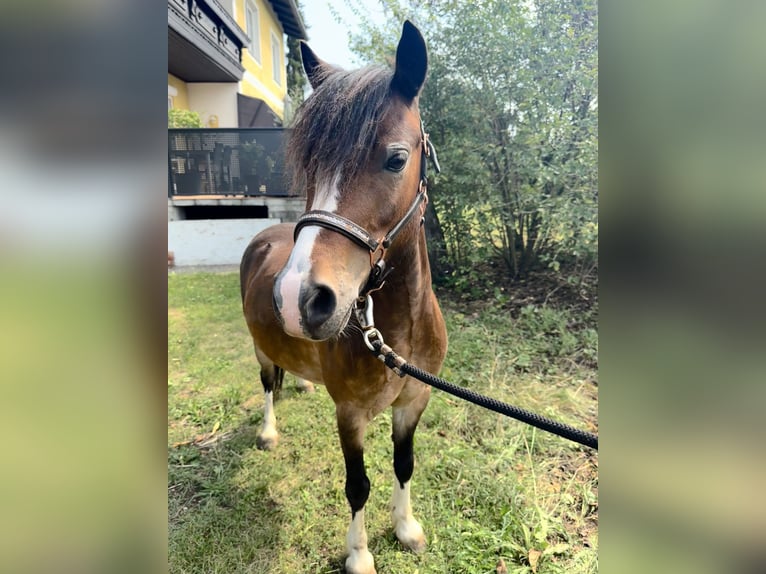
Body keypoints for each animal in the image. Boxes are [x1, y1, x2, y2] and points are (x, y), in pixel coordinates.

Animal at [242, 22, 450, 574]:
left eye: (397, 159)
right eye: (310, 167)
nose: (298, 298)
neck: (397, 332)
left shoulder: (414, 401)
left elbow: (404, 463)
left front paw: (406, 528)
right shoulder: (351, 416)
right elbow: (358, 486)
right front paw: (358, 553)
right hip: (260, 348)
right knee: (267, 383)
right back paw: (268, 430)